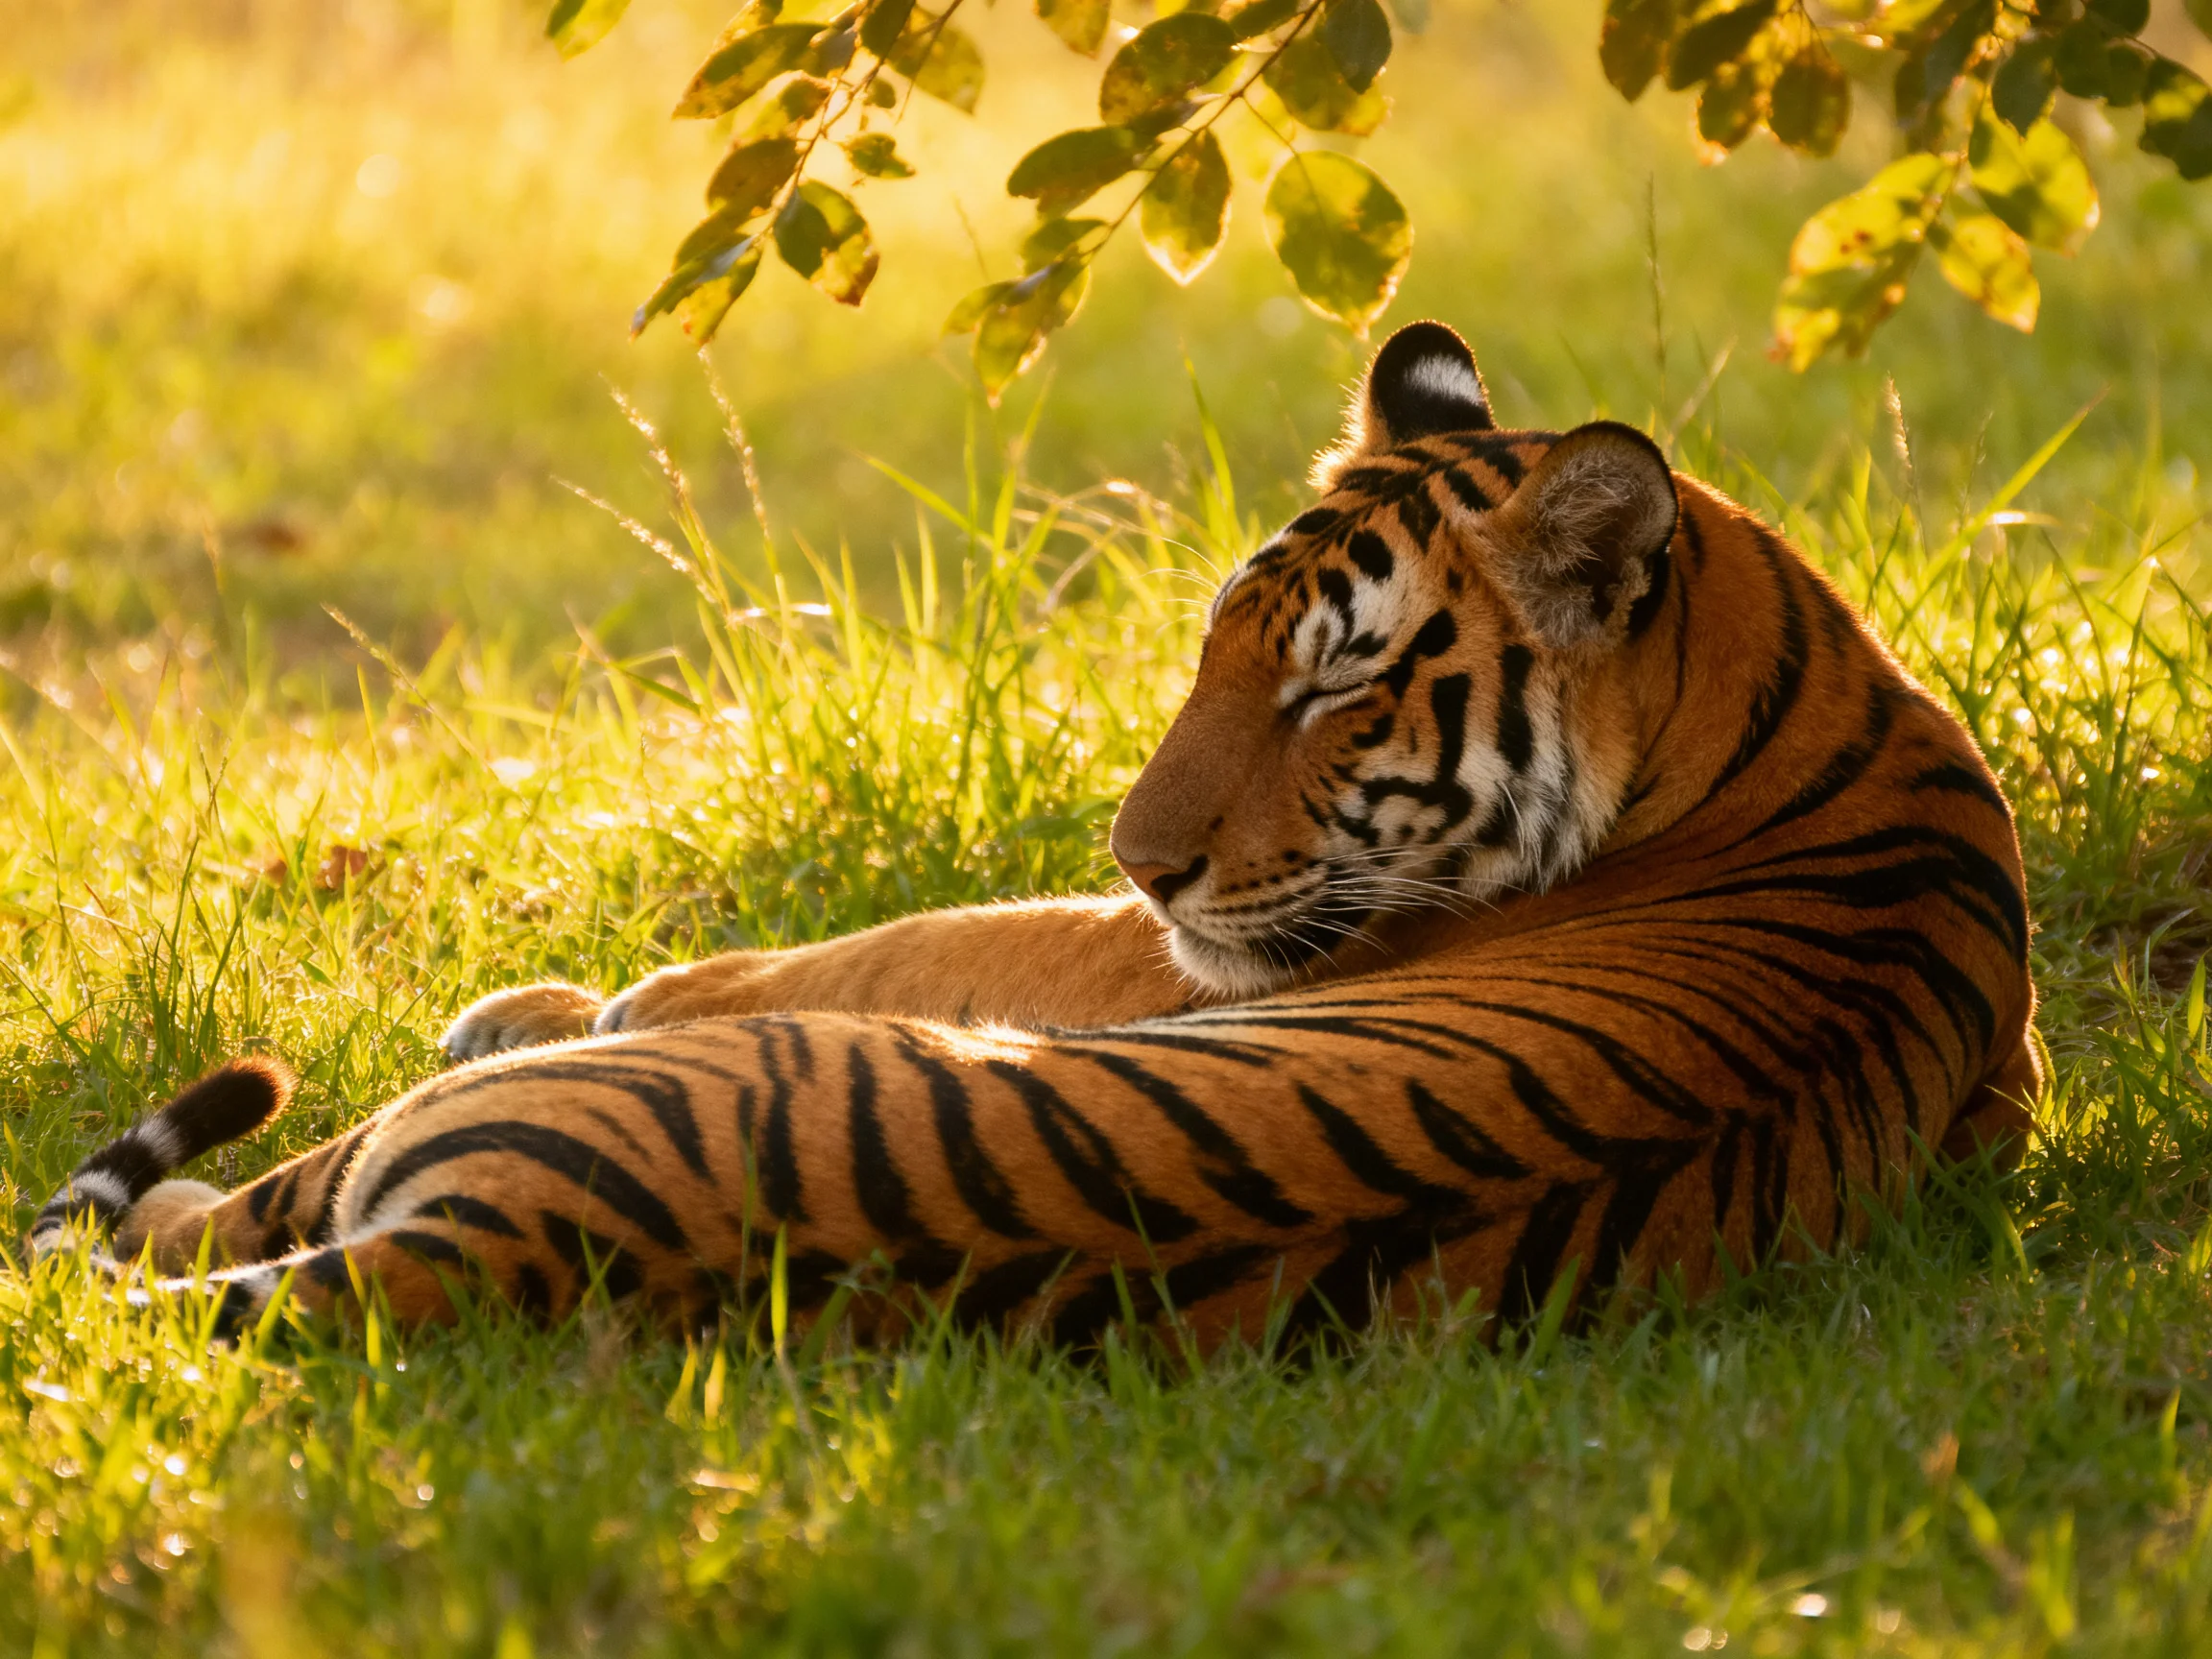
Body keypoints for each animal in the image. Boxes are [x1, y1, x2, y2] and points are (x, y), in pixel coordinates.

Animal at [26, 321, 2043, 1349]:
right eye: (1215, 646)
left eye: (1333, 687)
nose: (1143, 857)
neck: (1795, 691)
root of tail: (509, 1242)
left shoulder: (1143, 956)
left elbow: (908, 929)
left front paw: (572, 991)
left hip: (408, 1148)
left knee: (164, 1233)